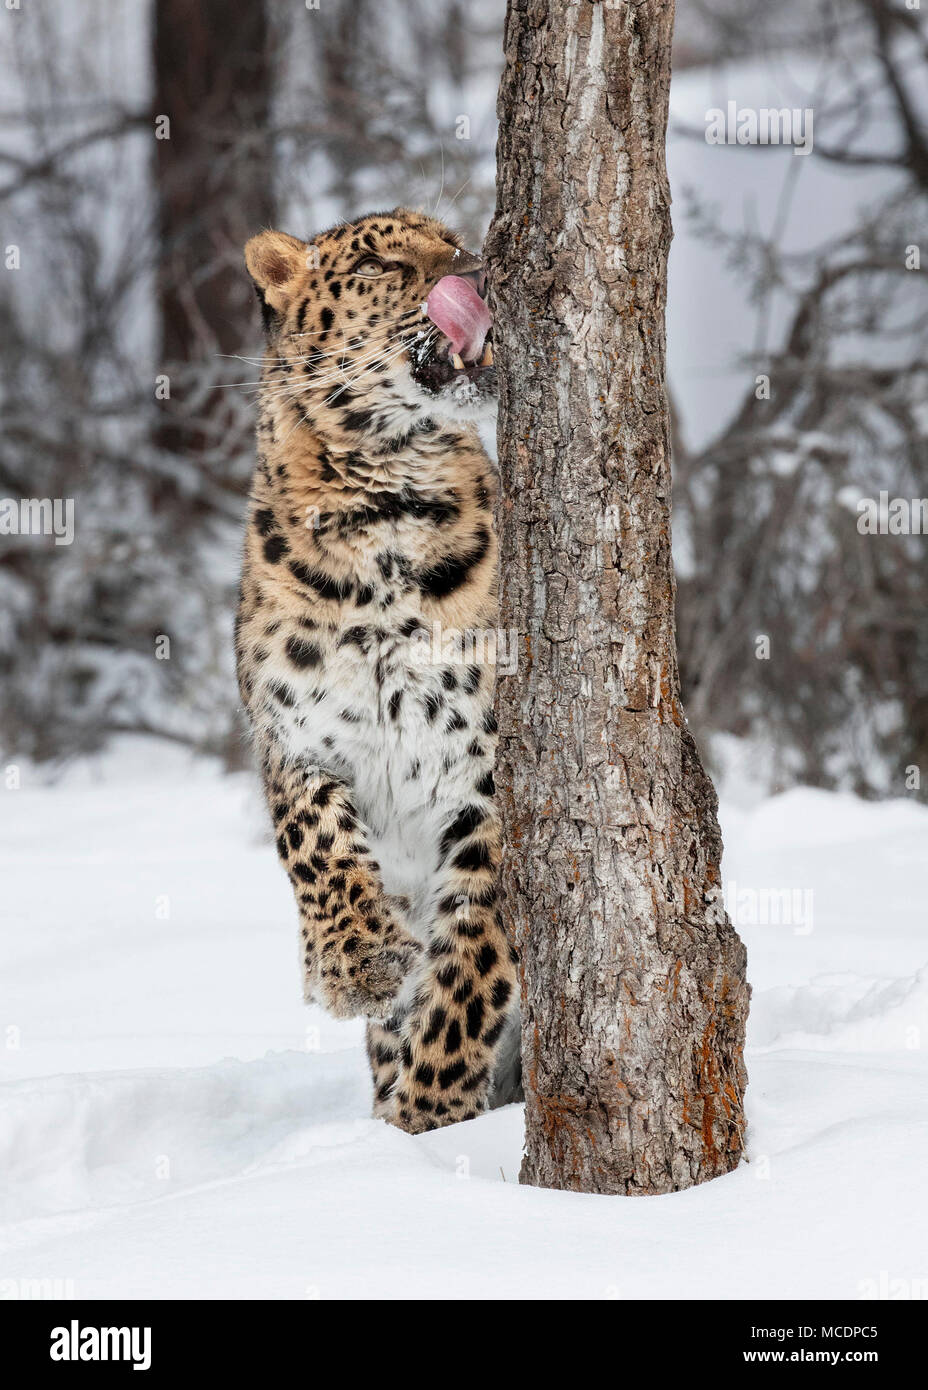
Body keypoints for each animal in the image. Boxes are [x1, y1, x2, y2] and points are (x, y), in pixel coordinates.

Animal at [236, 208, 519, 1139]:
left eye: (456, 238)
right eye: (381, 263)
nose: (481, 267)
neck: (386, 501)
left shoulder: (489, 775)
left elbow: (470, 966)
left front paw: (425, 1122)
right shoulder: (291, 739)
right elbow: (316, 844)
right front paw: (357, 964)